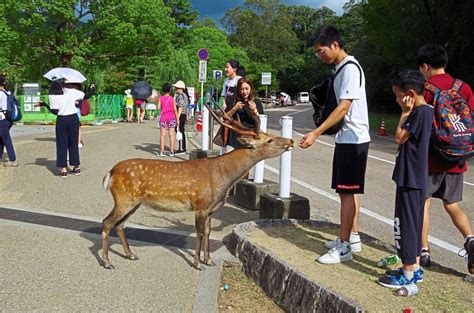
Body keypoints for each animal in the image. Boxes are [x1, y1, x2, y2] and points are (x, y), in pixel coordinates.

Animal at [100, 103, 292, 268]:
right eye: (270, 140)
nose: (290, 141)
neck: (224, 177)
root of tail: (111, 172)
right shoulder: (201, 204)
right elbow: (199, 233)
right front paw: (198, 263)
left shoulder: (211, 208)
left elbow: (207, 232)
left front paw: (209, 261)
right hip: (124, 198)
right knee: (107, 222)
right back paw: (107, 262)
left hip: (134, 202)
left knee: (119, 225)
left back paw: (130, 254)